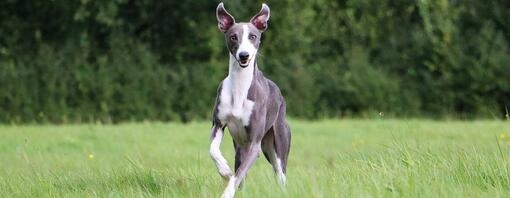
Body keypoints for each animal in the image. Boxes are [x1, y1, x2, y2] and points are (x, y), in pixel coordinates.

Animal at [209, 1, 290, 198]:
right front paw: (224, 170)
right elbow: (214, 151)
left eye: (253, 36)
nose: (244, 55)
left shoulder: (254, 145)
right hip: (241, 148)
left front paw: (227, 192)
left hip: (276, 145)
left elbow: (237, 176)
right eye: (233, 37)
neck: (239, 87)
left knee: (280, 173)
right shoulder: (218, 125)